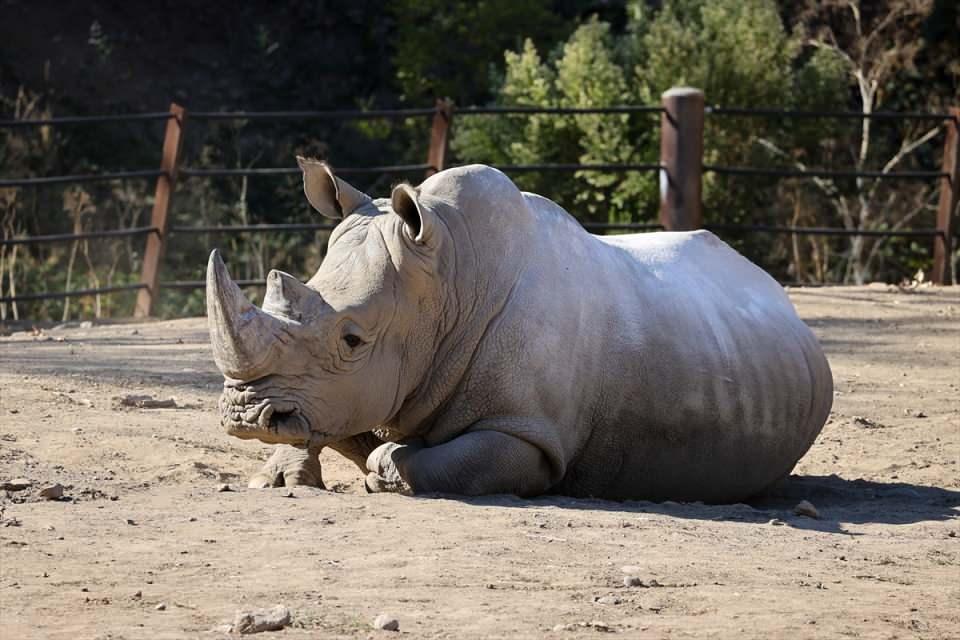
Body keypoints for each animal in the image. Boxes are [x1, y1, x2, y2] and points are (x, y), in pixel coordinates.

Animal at [208, 158, 832, 502]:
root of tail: (777, 293)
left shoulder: (528, 432)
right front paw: (279, 478)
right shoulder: (347, 390)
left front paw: (385, 468)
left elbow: (428, 460)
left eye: (352, 339)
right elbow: (327, 421)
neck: (449, 281)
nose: (244, 414)